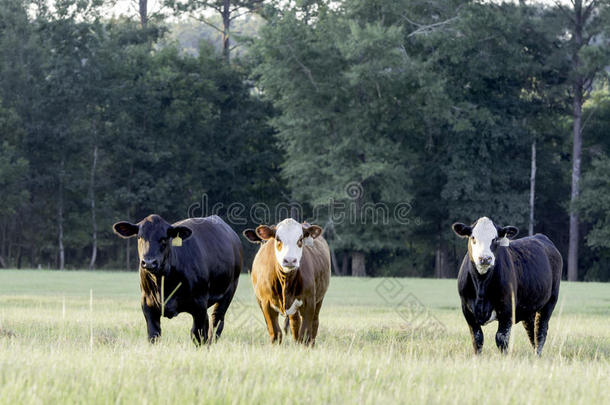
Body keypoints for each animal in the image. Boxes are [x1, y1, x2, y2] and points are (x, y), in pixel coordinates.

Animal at [112, 215, 240, 344]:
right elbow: (154, 335)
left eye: (164, 239)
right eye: (140, 237)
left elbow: (197, 335)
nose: (149, 262)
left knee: (216, 323)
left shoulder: (199, 304)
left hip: (228, 292)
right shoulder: (147, 305)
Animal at [448, 218, 560, 354]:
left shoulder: (507, 310)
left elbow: (501, 338)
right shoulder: (467, 311)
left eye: (495, 239)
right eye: (473, 237)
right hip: (529, 308)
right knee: (531, 331)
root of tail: (541, 237)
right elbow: (477, 339)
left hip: (550, 302)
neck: (481, 284)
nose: (485, 258)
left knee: (540, 332)